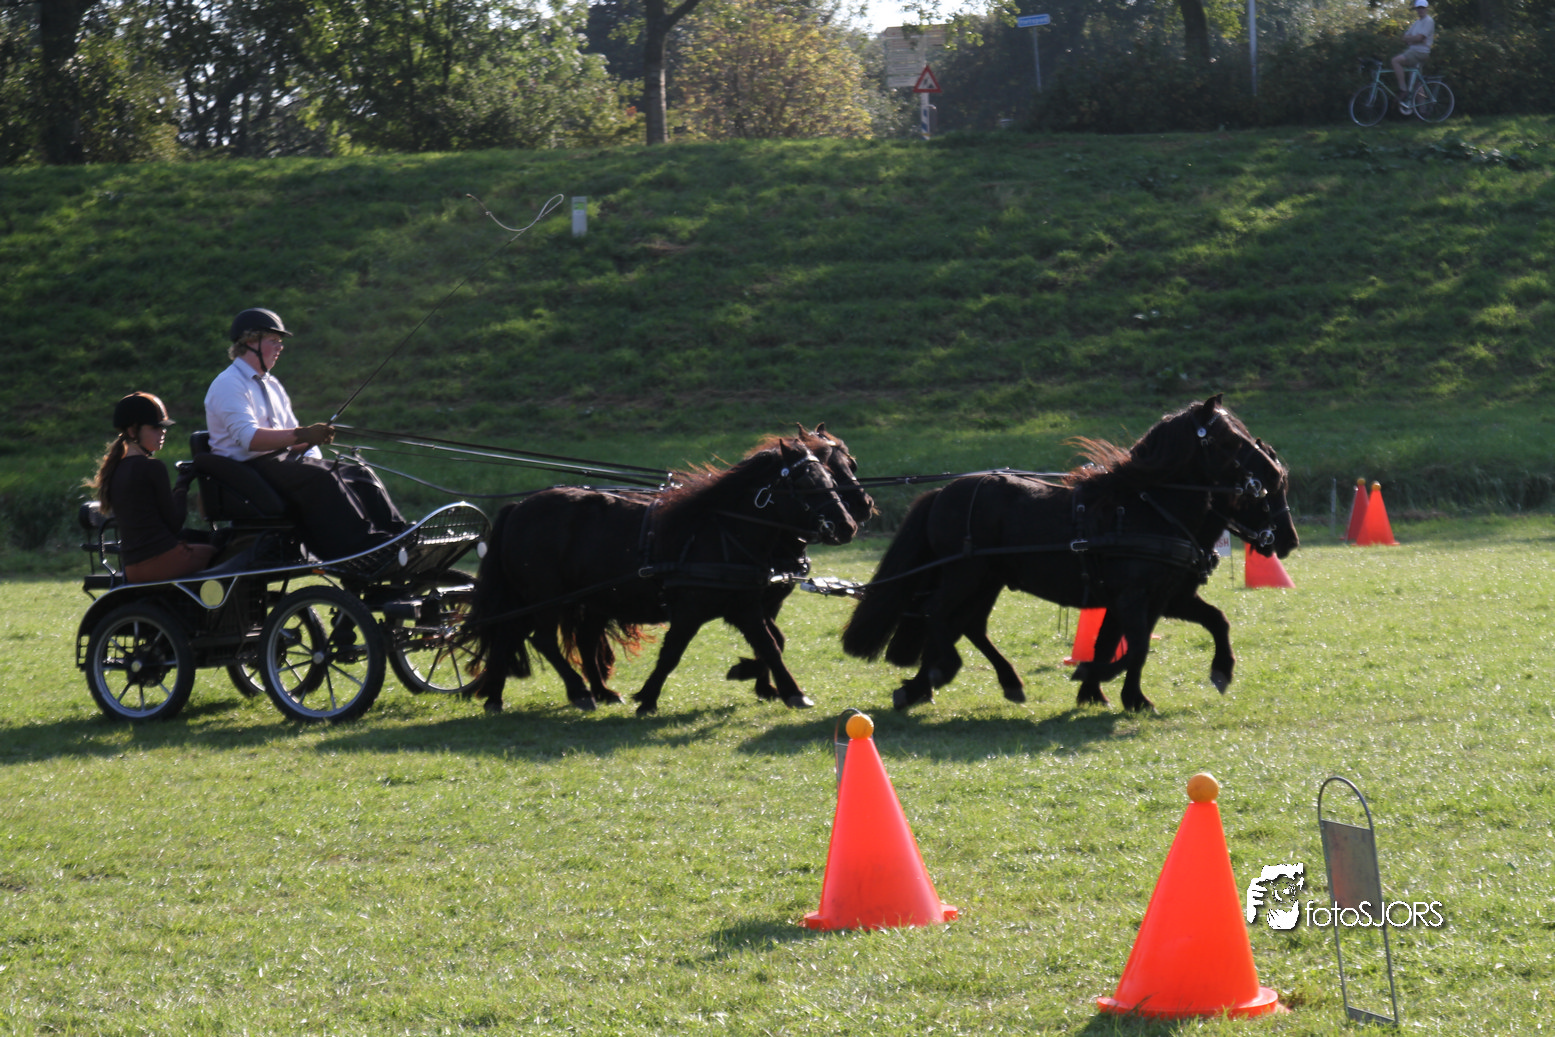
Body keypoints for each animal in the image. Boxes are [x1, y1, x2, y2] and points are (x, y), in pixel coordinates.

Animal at [462, 431, 861, 715]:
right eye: (808, 483)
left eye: (832, 473)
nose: (849, 524)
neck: (720, 531)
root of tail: (518, 507)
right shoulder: (690, 610)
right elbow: (672, 653)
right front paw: (649, 698)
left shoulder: (746, 606)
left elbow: (771, 645)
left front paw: (791, 692)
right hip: (546, 597)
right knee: (541, 638)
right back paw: (578, 692)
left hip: (554, 598)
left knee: (516, 634)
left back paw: (503, 696)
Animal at [841, 395, 1298, 713]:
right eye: (1229, 439)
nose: (1288, 541)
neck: (1148, 507)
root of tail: (941, 493)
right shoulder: (1135, 597)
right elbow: (1134, 647)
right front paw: (1109, 685)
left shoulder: (1165, 598)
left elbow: (1203, 624)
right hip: (964, 575)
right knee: (937, 614)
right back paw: (939, 671)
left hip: (986, 580)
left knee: (967, 624)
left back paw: (968, 683)